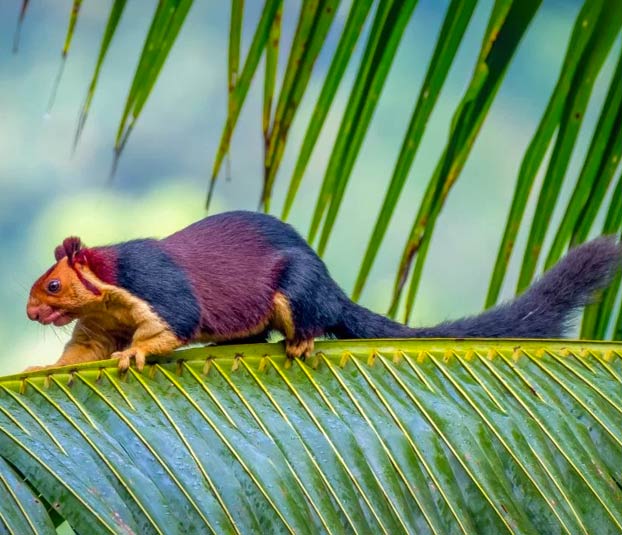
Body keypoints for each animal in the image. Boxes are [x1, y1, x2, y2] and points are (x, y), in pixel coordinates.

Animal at [24, 210, 622, 372]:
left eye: (53, 284)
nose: (30, 312)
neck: (109, 284)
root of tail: (334, 290)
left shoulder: (155, 285)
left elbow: (174, 320)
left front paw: (135, 353)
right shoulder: (100, 320)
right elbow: (84, 350)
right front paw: (43, 366)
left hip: (298, 289)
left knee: (305, 318)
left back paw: (302, 341)